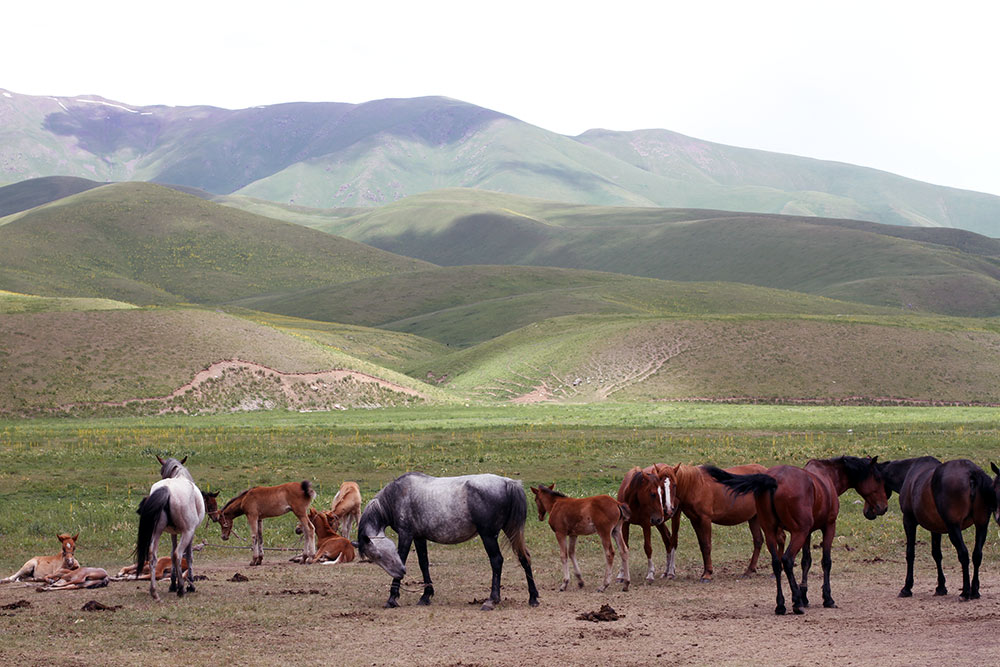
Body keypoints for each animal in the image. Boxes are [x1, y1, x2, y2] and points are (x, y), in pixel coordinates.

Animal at [136, 456, 206, 604]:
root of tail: (167, 490)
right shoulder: (190, 533)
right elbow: (189, 556)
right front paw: (189, 584)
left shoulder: (173, 533)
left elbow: (171, 555)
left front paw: (172, 584)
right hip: (187, 532)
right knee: (178, 554)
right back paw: (181, 589)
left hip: (156, 532)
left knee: (153, 556)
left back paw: (154, 592)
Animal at [354, 470, 540, 612]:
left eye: (377, 556)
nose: (401, 572)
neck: (396, 496)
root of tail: (508, 482)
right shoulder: (419, 537)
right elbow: (424, 563)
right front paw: (426, 596)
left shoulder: (406, 535)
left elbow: (403, 557)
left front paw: (392, 598)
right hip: (511, 532)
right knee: (524, 557)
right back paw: (533, 597)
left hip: (488, 536)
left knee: (497, 561)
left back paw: (492, 600)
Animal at [708, 456, 888, 620]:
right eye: (878, 478)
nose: (883, 507)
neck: (827, 476)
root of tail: (775, 480)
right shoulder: (828, 527)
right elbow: (826, 562)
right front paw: (826, 598)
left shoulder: (807, 533)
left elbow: (805, 562)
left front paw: (805, 596)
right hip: (797, 533)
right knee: (787, 560)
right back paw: (796, 603)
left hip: (771, 532)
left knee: (776, 563)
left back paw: (781, 604)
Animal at [880, 460, 996, 600]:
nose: (873, 511)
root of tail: (972, 472)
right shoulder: (935, 528)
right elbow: (937, 554)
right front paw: (941, 587)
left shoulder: (908, 521)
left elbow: (910, 553)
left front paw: (907, 587)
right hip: (981, 526)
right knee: (977, 555)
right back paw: (974, 591)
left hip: (954, 528)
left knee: (963, 554)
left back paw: (965, 592)